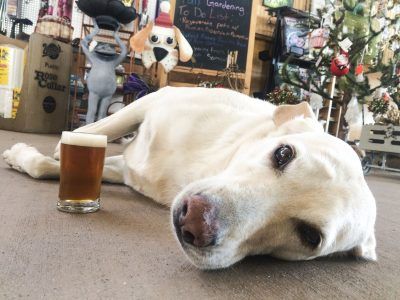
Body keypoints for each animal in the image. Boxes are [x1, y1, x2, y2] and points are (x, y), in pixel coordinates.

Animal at [4, 86, 376, 270]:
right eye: (283, 153)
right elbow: (92, 134)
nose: (195, 220)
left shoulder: (125, 170)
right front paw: (37, 153)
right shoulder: (156, 98)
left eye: (310, 237)